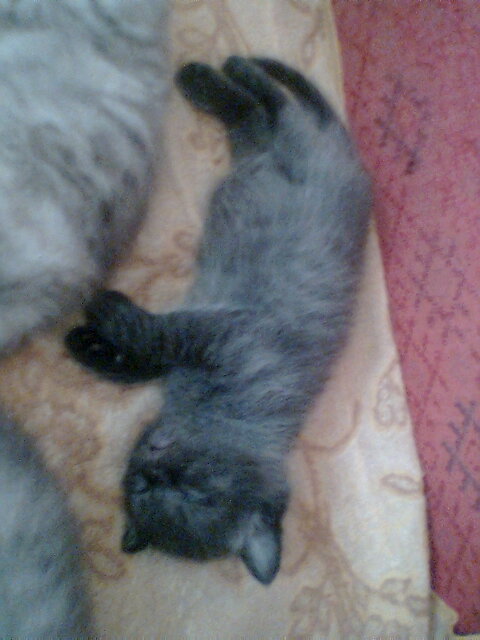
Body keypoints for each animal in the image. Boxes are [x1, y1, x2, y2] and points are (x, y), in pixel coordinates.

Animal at [66, 57, 372, 584]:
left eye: (194, 495)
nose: (152, 474)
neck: (231, 411)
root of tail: (351, 163)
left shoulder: (215, 334)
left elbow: (149, 337)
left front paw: (99, 317)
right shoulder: (219, 336)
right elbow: (147, 353)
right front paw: (92, 341)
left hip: (270, 157)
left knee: (262, 117)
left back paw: (209, 78)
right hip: (287, 157)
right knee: (268, 105)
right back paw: (215, 73)